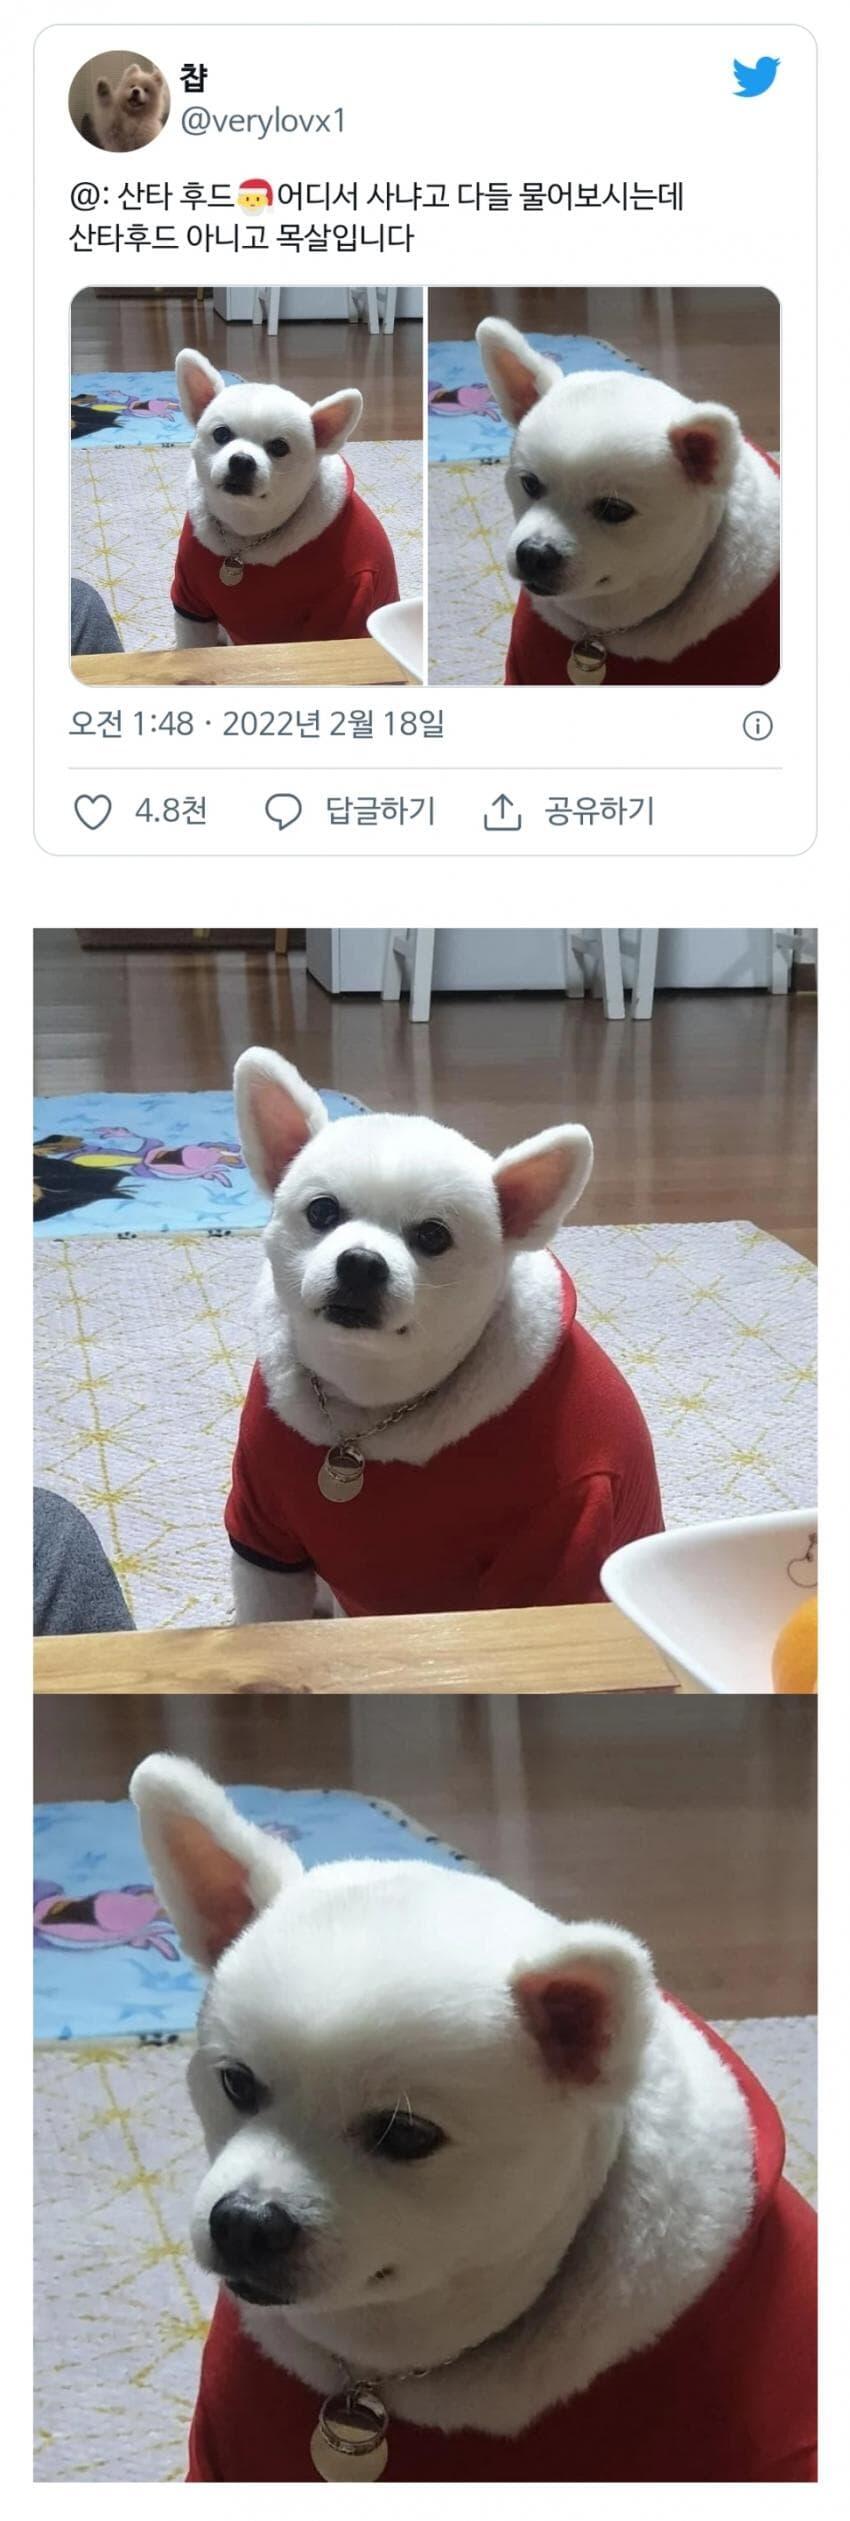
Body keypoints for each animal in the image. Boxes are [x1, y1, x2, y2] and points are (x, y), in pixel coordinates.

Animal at [171, 351, 399, 649]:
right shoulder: (191, 605)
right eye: (221, 434)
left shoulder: (348, 598)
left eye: (279, 447)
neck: (243, 541)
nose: (241, 460)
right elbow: (192, 647)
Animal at [224, 1048, 663, 1621]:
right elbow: (265, 1620)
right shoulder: (264, 1539)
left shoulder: (567, 1523)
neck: (364, 1417)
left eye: (433, 1236)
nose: (361, 1262)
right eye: (322, 1210)